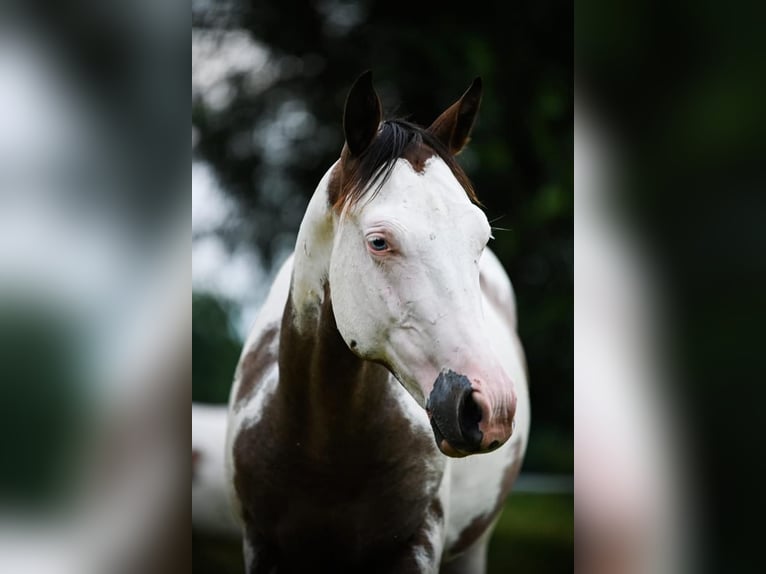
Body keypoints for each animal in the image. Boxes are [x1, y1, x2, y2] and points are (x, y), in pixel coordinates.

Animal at [225, 73, 532, 574]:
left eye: (482, 238)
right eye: (379, 242)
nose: (491, 405)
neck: (321, 452)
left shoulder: (416, 547)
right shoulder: (261, 546)